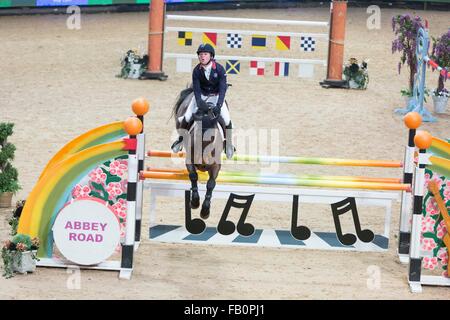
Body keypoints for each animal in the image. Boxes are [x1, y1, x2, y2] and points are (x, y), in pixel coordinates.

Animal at [171, 87, 225, 219]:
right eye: (197, 134)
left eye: (212, 136)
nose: (202, 161)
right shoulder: (189, 161)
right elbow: (193, 176)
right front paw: (195, 202)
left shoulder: (216, 166)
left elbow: (211, 184)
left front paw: (205, 210)